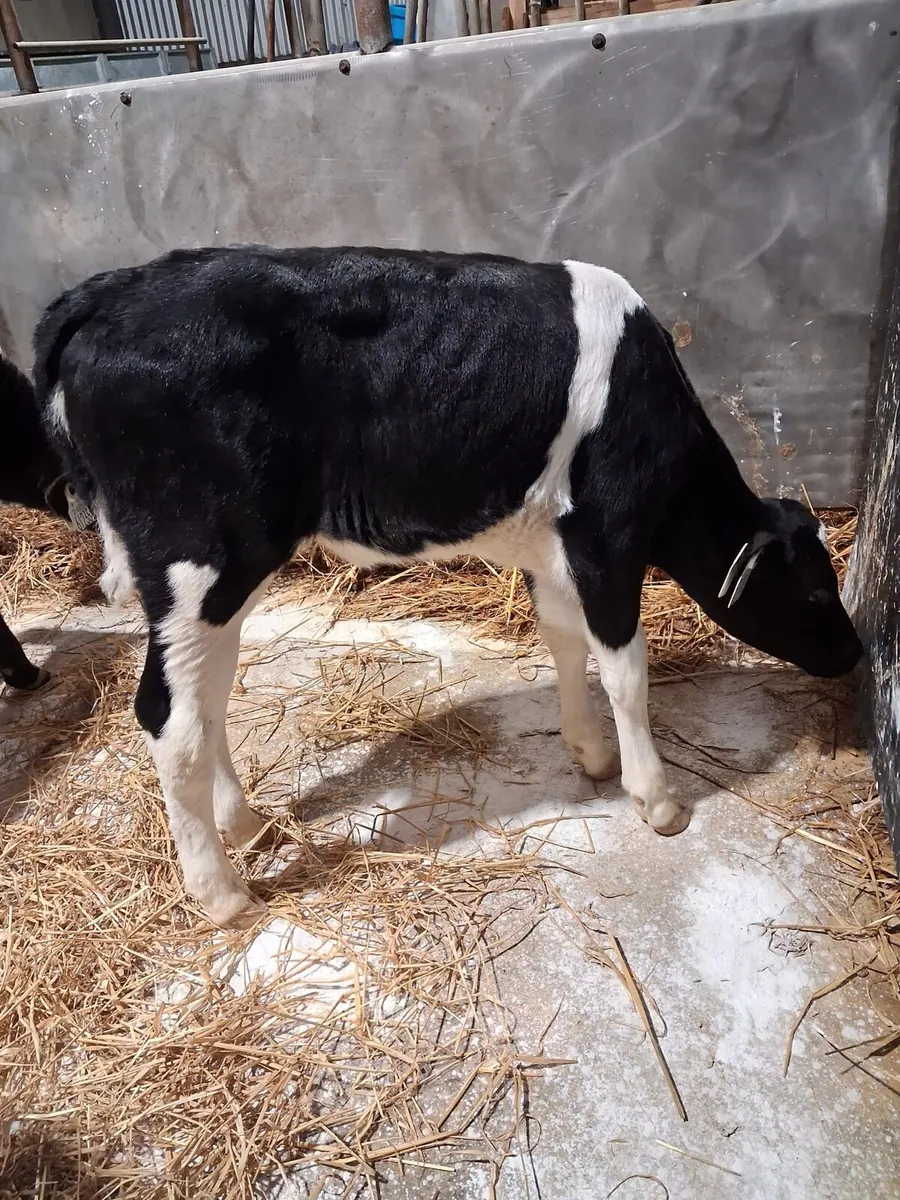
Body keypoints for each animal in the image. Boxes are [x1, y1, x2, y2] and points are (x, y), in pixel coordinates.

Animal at [33, 246, 863, 927]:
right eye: (817, 594)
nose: (856, 653)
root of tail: (109, 290)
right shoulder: (607, 535)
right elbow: (626, 667)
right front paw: (656, 799)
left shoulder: (551, 545)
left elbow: (564, 641)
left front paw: (590, 752)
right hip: (201, 559)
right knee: (168, 717)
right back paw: (223, 895)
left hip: (215, 584)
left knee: (204, 703)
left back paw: (247, 826)